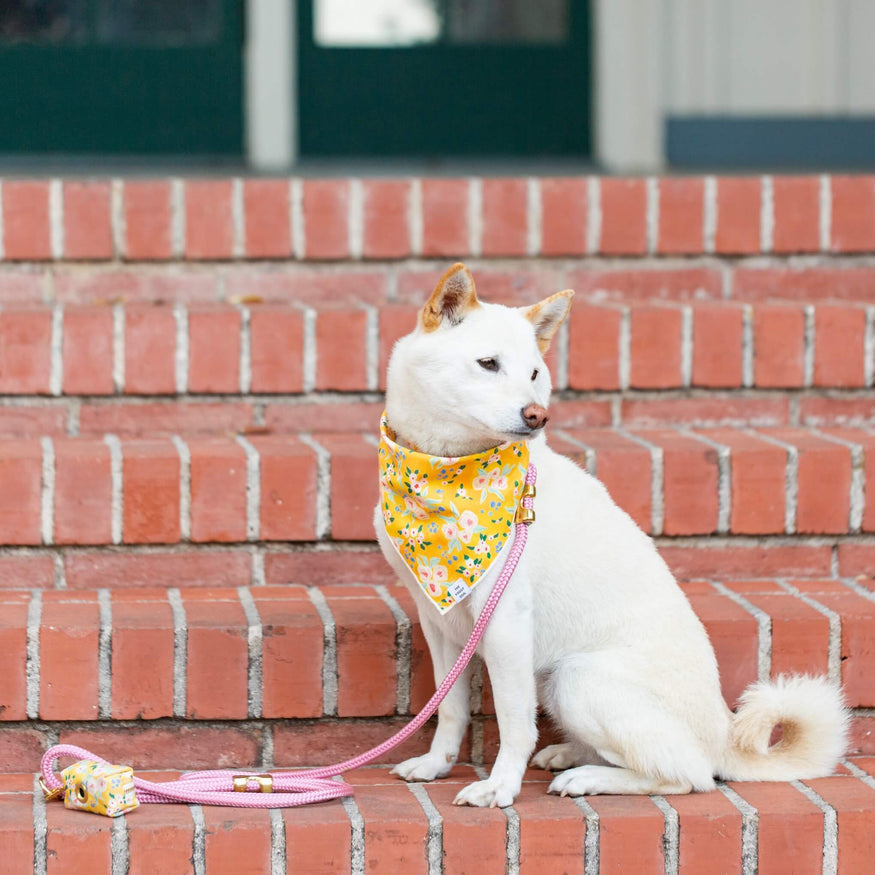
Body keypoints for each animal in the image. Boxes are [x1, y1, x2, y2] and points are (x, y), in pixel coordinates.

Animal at [376, 262, 848, 808]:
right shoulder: (439, 620)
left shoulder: (506, 622)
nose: (537, 415)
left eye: (534, 374)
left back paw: (590, 777)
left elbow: (515, 723)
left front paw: (499, 786)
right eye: (488, 363)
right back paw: (572, 755)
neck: (444, 473)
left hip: (576, 678)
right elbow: (448, 706)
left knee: (689, 774)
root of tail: (721, 734)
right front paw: (436, 764)